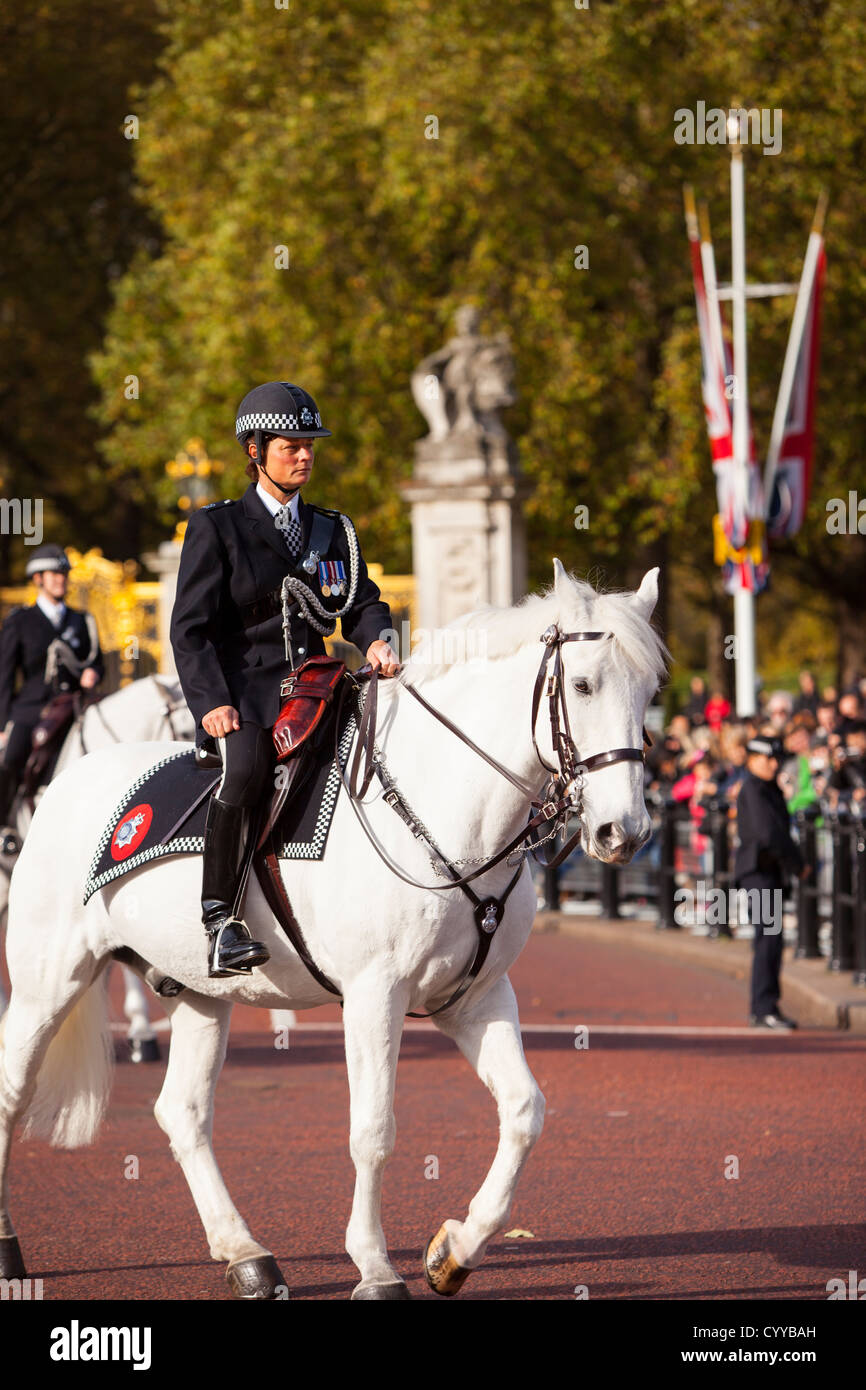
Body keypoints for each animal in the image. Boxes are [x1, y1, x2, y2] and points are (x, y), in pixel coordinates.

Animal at [0, 558, 667, 1295]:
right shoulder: (375, 995)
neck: (446, 808)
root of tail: (66, 779)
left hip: (201, 993)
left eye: (652, 690)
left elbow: (524, 1110)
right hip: (48, 981)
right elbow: (373, 1129)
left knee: (183, 1112)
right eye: (582, 685)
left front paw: (455, 1250)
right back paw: (8, 1247)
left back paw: (245, 1253)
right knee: (13, 1091)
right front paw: (374, 1264)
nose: (623, 832)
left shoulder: (475, 996)